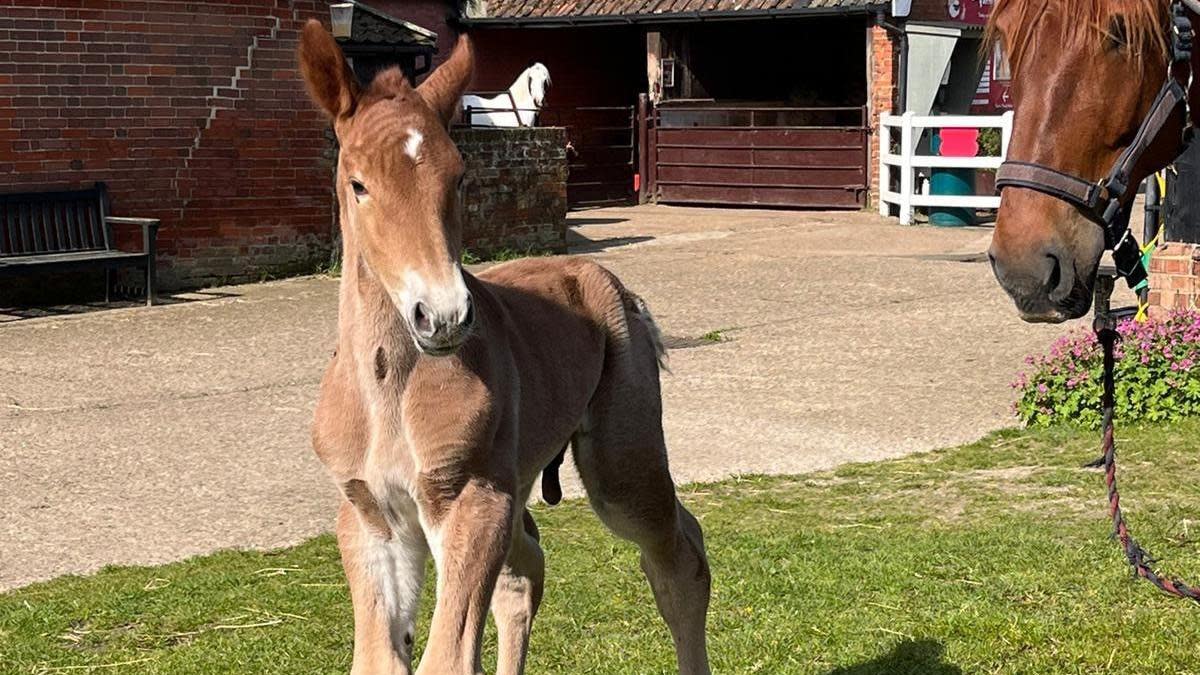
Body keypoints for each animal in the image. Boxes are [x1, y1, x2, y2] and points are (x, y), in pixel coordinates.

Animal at [300, 21, 710, 672]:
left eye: (459, 176)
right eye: (358, 184)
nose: (442, 314)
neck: (389, 393)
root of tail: (615, 285)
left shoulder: (472, 503)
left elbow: (446, 658)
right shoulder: (370, 518)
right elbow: (381, 657)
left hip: (618, 466)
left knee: (679, 555)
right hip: (518, 485)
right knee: (526, 574)